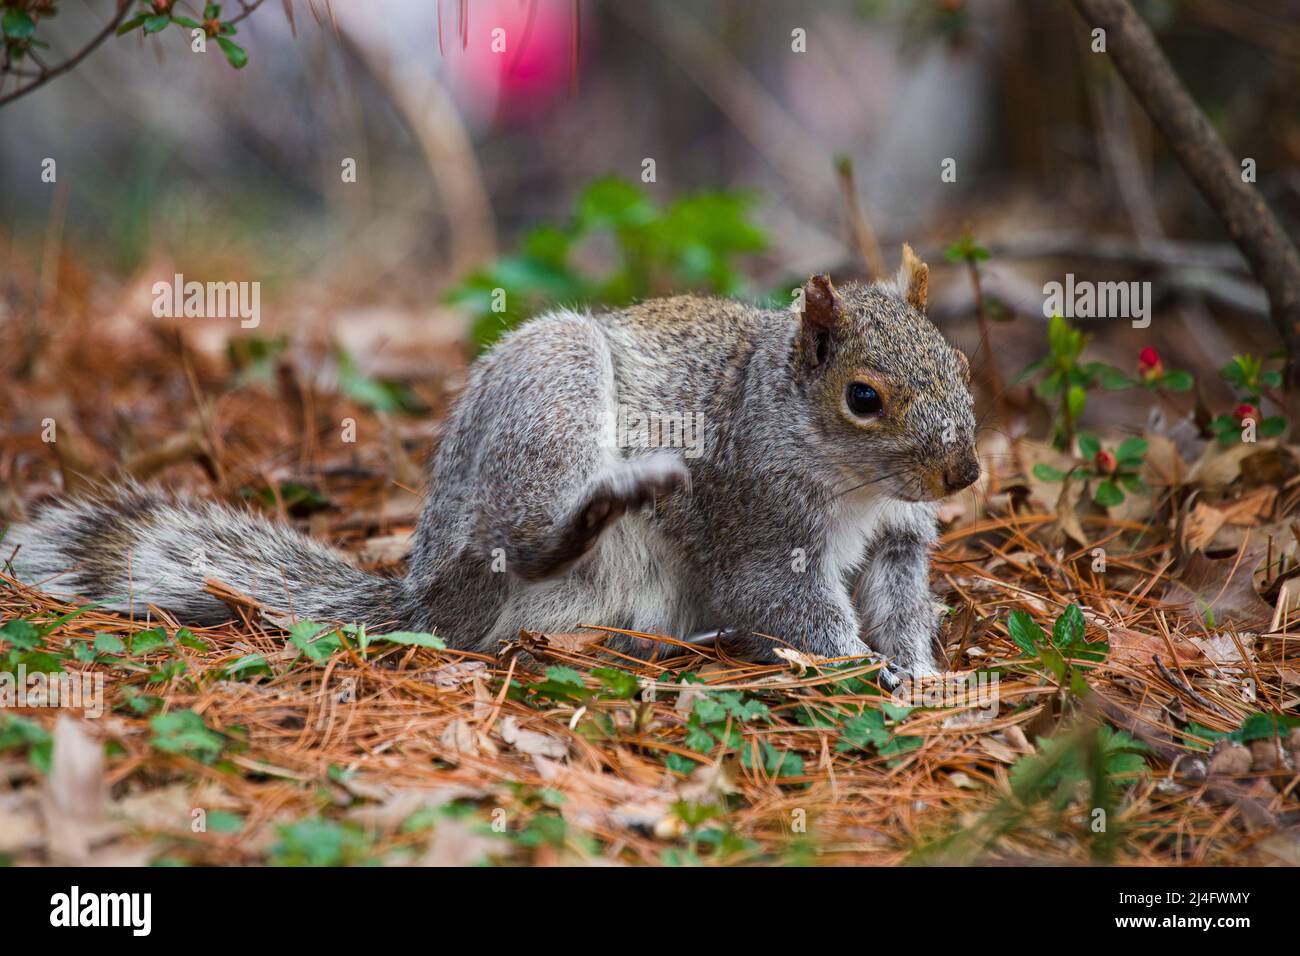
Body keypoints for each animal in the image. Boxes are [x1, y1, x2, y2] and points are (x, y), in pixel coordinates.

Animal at [2, 247, 977, 681]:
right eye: (863, 398)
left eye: (963, 365)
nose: (964, 474)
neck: (854, 487)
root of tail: (427, 598)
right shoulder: (761, 520)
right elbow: (784, 602)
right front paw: (867, 673)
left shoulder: (899, 539)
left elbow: (901, 601)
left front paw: (924, 673)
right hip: (549, 398)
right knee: (520, 545)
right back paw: (603, 508)